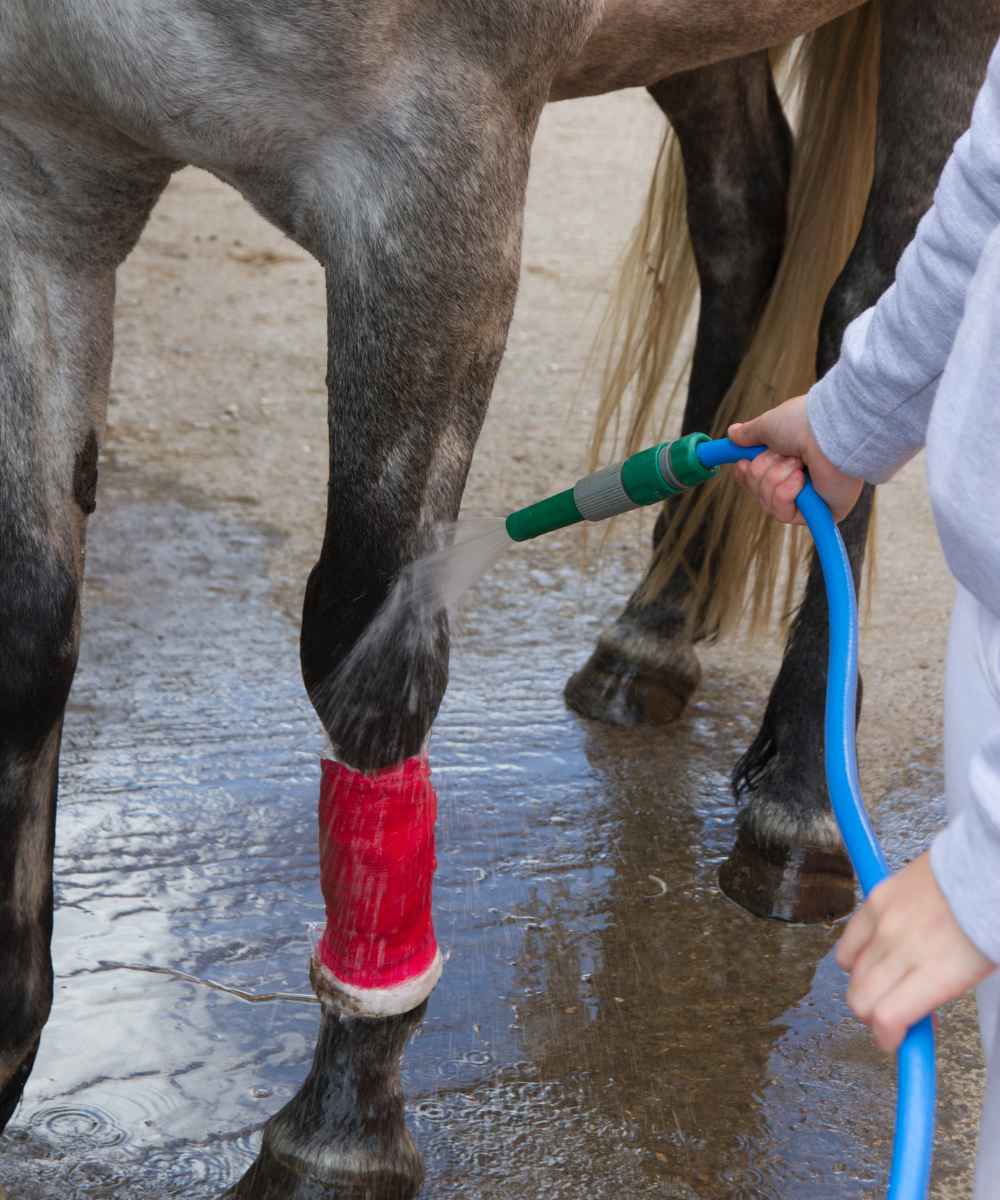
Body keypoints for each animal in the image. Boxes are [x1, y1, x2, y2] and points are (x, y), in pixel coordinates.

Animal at [0, 2, 993, 1200]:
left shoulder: (428, 174)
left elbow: (366, 653)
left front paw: (344, 1127)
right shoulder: (40, 175)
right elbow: (28, 628)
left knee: (873, 302)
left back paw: (800, 798)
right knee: (746, 224)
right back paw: (652, 632)